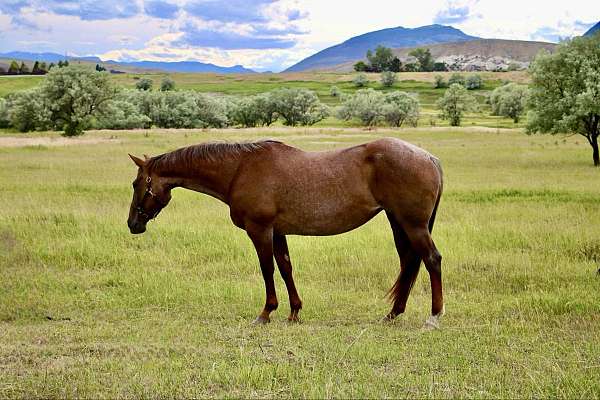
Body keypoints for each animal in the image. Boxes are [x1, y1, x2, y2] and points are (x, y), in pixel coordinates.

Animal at [126, 138, 446, 328]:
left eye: (136, 183)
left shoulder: (260, 230)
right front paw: (294, 312)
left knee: (431, 260)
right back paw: (393, 313)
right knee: (409, 263)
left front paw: (266, 313)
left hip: (412, 224)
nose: (132, 224)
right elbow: (285, 268)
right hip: (398, 222)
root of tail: (429, 157)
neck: (239, 170)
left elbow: (267, 269)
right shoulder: (278, 233)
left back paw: (433, 317)